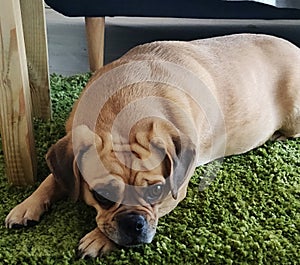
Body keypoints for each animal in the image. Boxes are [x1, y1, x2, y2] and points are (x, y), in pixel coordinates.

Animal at [5, 33, 300, 256]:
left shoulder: (174, 192)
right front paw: (27, 205)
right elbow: (52, 179)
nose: (133, 223)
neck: (121, 113)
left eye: (156, 191)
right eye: (102, 195)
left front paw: (99, 239)